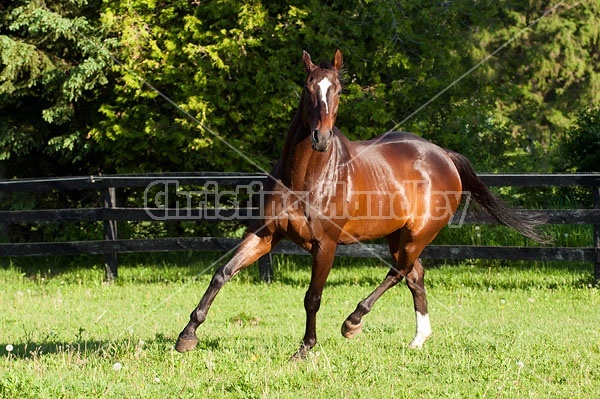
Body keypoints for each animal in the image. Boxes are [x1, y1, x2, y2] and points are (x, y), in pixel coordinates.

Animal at [175, 50, 548, 360]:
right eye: (308, 89)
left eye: (338, 91)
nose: (320, 138)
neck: (305, 178)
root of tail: (443, 155)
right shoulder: (265, 235)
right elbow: (221, 274)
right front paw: (187, 336)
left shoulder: (325, 245)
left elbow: (312, 297)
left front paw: (305, 348)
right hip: (398, 234)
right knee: (415, 275)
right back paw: (417, 339)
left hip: (418, 234)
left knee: (399, 271)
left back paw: (353, 322)